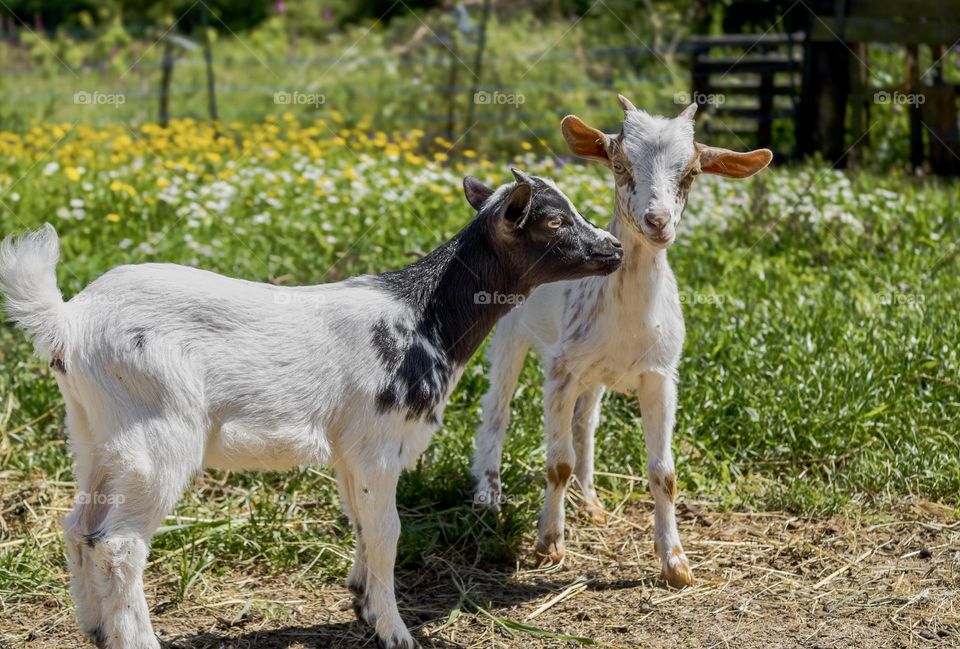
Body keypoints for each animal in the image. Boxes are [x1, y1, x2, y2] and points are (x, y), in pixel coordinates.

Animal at [0, 169, 623, 649]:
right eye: (553, 221)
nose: (614, 249)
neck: (423, 319)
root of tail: (69, 319)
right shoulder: (376, 444)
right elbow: (389, 530)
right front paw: (395, 631)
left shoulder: (350, 452)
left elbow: (362, 524)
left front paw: (362, 603)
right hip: (157, 434)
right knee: (119, 544)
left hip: (93, 432)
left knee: (80, 528)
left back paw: (94, 629)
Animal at [471, 96, 772, 587]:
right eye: (618, 163)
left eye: (692, 172)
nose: (657, 221)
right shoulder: (560, 371)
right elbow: (557, 463)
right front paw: (549, 542)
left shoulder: (660, 376)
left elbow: (664, 472)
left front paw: (676, 563)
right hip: (509, 332)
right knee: (497, 409)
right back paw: (487, 498)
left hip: (593, 374)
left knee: (585, 423)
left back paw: (591, 503)